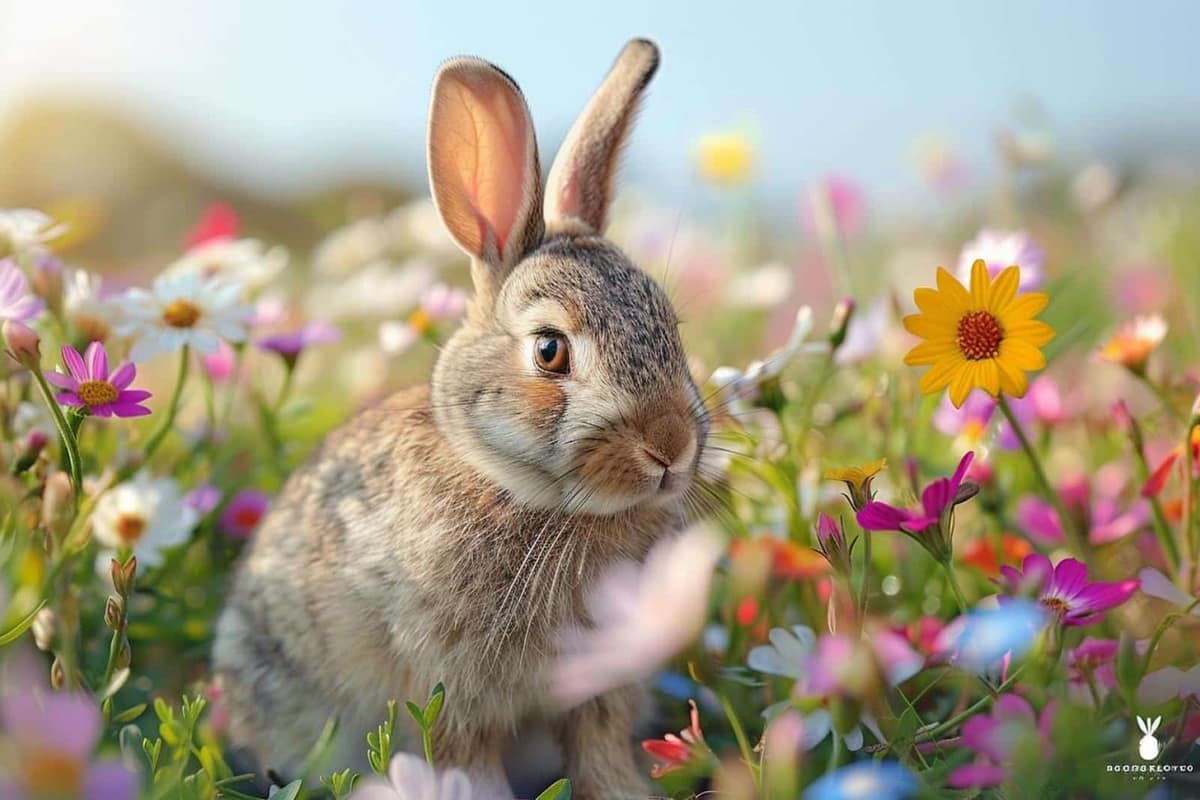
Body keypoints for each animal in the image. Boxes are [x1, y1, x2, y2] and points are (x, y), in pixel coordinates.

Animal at [212, 38, 711, 799]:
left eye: (671, 327)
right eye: (549, 350)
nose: (671, 448)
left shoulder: (602, 684)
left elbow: (600, 753)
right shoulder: (453, 692)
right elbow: (467, 762)